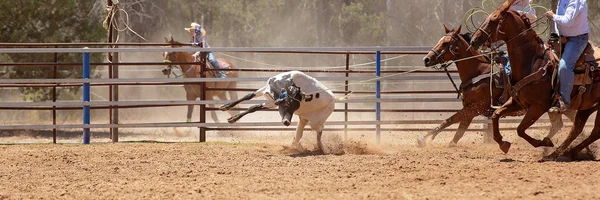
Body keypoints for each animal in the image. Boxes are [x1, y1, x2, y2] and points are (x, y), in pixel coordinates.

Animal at [420, 25, 576, 147]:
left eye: (446, 43)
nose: (426, 59)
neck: (478, 72)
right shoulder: (470, 110)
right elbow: (458, 132)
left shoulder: (474, 108)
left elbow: (449, 120)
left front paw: (423, 139)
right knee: (560, 124)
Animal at [472, 0, 596, 160]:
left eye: (494, 19)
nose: (473, 40)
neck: (532, 61)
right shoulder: (518, 102)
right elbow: (496, 114)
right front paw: (502, 143)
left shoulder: (538, 106)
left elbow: (520, 129)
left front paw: (543, 142)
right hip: (588, 106)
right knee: (582, 128)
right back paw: (566, 152)